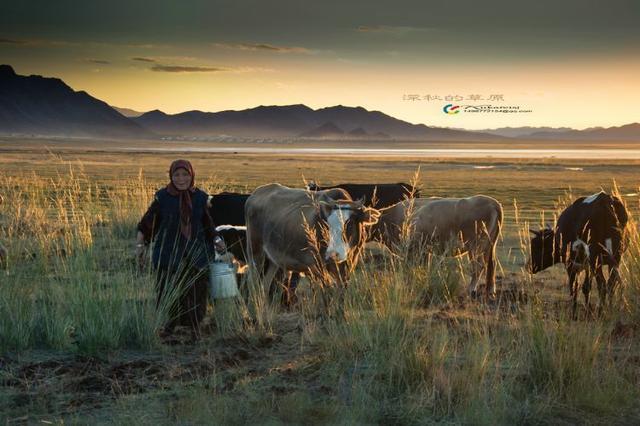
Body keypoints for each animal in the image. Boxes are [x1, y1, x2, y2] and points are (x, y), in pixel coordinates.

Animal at [244, 183, 376, 292]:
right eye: (327, 224)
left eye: (349, 224)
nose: (333, 254)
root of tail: (255, 193)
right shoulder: (318, 268)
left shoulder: (346, 271)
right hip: (255, 254)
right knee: (252, 284)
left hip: (273, 260)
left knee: (265, 286)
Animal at [372, 196, 502, 296]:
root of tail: (493, 202)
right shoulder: (423, 250)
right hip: (490, 245)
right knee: (492, 264)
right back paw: (491, 290)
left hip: (475, 246)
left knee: (478, 266)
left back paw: (471, 289)